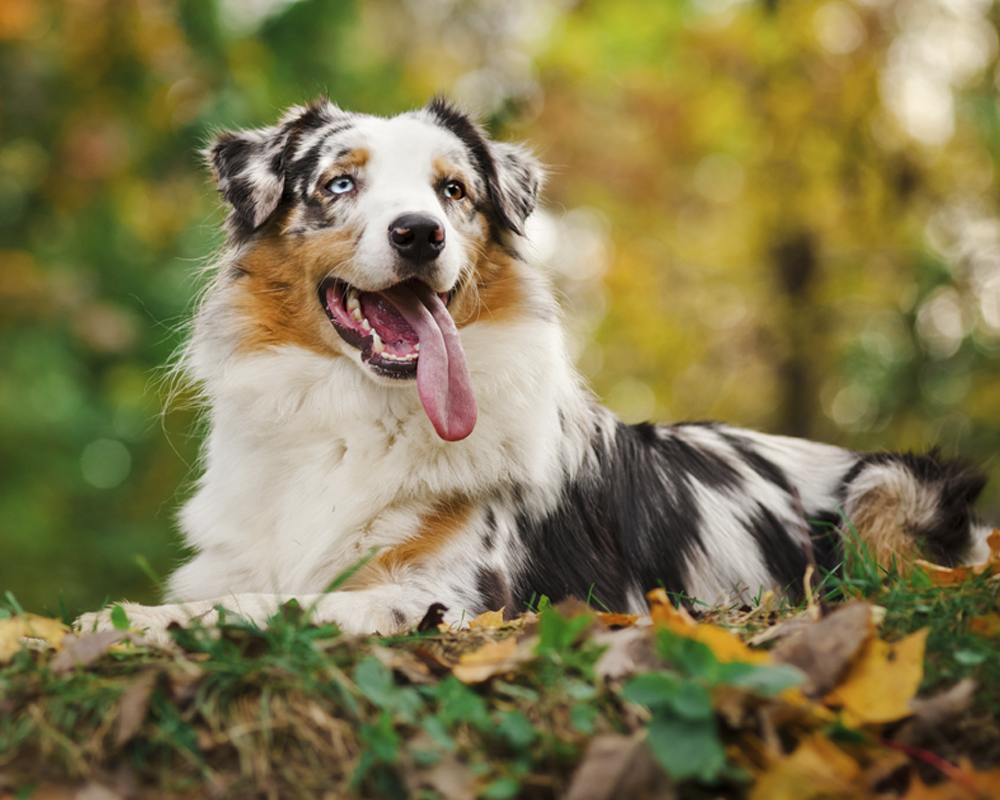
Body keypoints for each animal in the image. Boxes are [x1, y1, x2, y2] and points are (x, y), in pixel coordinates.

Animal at [80, 97, 992, 640]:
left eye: (453, 192)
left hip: (890, 489)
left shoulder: (455, 597)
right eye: (338, 184)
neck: (356, 415)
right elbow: (238, 589)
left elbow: (283, 603)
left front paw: (118, 616)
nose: (419, 233)